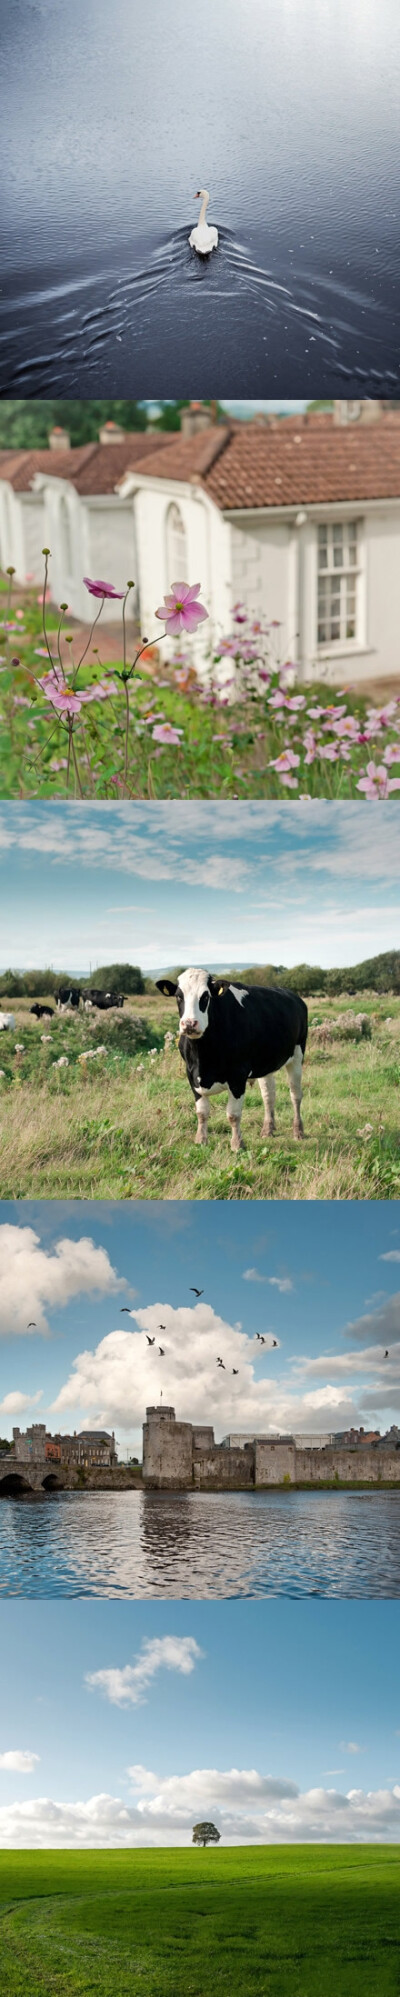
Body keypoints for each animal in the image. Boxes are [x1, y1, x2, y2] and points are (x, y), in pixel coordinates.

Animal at [155, 970, 308, 1158]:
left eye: (205, 996)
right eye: (178, 996)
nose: (189, 1023)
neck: (203, 1059)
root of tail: (293, 995)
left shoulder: (237, 1075)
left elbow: (233, 1115)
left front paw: (237, 1145)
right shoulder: (191, 1074)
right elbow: (201, 1112)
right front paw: (201, 1141)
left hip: (297, 1056)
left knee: (295, 1095)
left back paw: (298, 1131)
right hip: (265, 1063)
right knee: (268, 1096)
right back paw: (268, 1130)